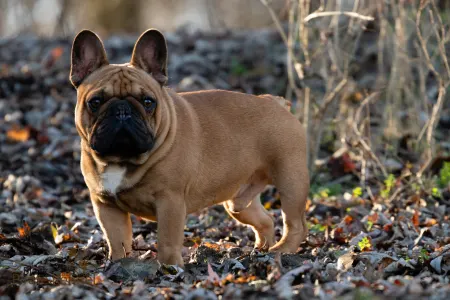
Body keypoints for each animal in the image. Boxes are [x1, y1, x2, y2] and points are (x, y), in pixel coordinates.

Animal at [70, 27, 310, 264]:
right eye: (95, 102)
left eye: (148, 102)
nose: (122, 111)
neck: (122, 159)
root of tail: (274, 101)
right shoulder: (106, 205)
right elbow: (117, 239)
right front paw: (119, 262)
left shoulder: (170, 201)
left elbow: (167, 242)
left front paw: (169, 268)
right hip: (239, 200)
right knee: (265, 219)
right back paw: (261, 250)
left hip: (291, 181)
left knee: (295, 224)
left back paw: (281, 250)